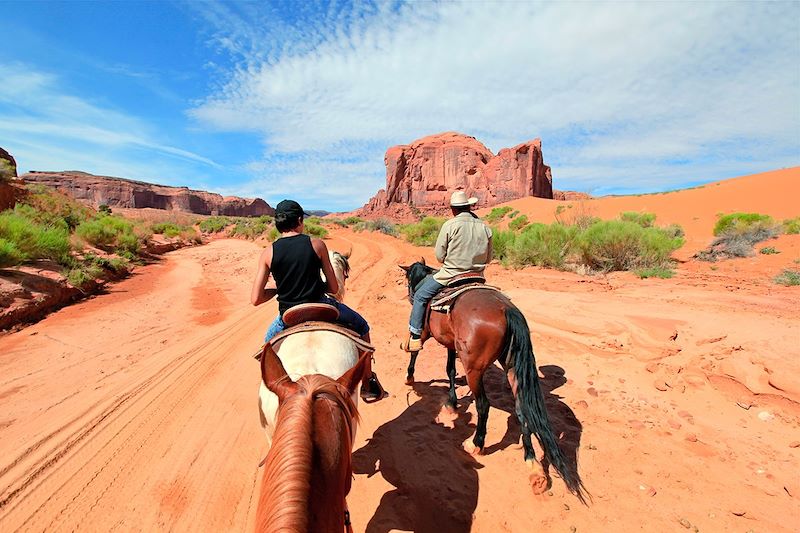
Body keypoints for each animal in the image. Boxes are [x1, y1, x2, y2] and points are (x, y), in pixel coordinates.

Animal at [400, 260, 588, 500]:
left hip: (474, 369)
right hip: (512, 368)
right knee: (522, 410)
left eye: (408, 280)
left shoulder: (425, 332)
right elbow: (450, 370)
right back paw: (533, 466)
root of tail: (507, 310)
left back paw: (476, 444)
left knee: (484, 405)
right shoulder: (452, 344)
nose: (410, 296)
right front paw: (452, 403)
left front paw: (410, 377)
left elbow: (417, 350)